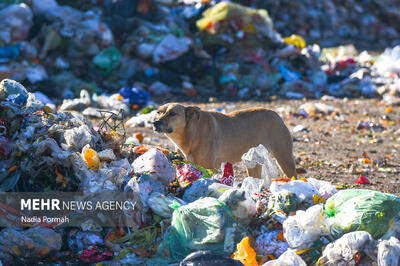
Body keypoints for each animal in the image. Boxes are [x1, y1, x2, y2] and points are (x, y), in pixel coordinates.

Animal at [153, 103, 296, 178]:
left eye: (172, 113)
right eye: (158, 112)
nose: (155, 122)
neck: (189, 134)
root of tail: (276, 114)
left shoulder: (207, 168)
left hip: (285, 160)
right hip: (253, 165)